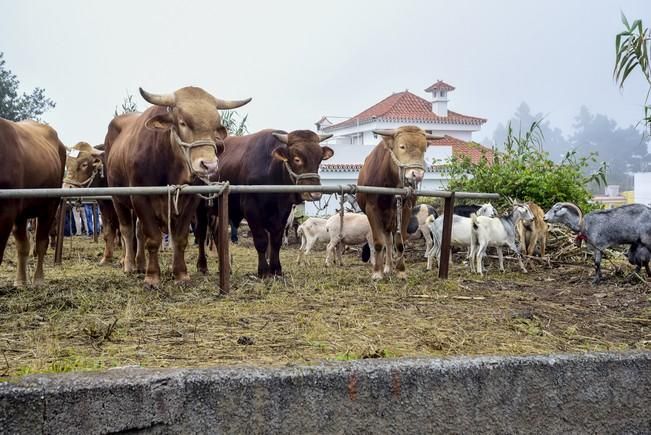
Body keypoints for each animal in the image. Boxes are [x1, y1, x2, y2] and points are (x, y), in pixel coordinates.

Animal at [0, 118, 66, 286]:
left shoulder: (7, 212)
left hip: (50, 207)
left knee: (41, 242)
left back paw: (38, 279)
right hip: (23, 213)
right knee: (23, 245)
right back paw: (20, 281)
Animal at [105, 87, 251, 288]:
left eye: (215, 126)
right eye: (182, 122)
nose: (209, 165)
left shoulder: (190, 200)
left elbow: (179, 239)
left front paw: (181, 274)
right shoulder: (140, 198)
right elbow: (153, 238)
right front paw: (152, 277)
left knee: (138, 231)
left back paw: (141, 264)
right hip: (118, 199)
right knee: (127, 230)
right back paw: (129, 264)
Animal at [356, 124, 444, 282]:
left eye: (424, 149)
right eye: (402, 146)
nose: (416, 175)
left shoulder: (406, 209)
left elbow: (400, 242)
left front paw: (401, 271)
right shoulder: (372, 209)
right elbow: (378, 243)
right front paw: (377, 272)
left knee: (391, 241)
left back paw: (390, 266)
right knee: (387, 242)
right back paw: (386, 267)